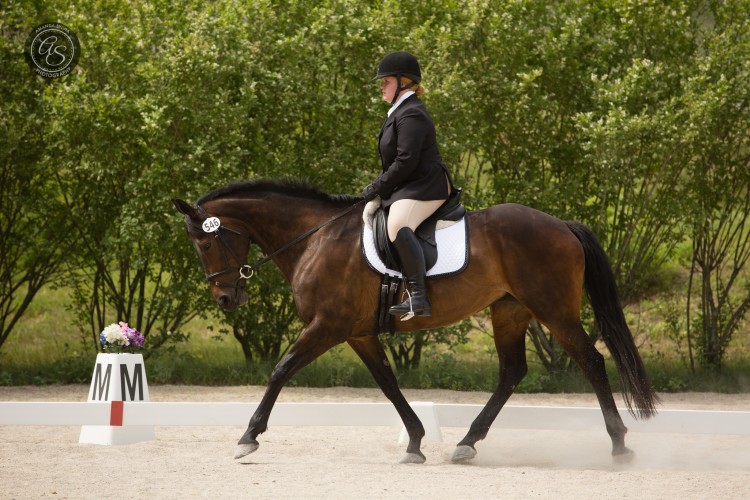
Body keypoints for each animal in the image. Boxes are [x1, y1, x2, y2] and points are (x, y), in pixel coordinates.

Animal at [173, 177, 660, 464]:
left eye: (206, 245)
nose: (225, 298)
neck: (316, 238)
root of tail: (560, 224)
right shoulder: (357, 333)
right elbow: (388, 383)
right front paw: (415, 441)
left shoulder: (327, 326)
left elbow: (280, 370)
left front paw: (248, 436)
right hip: (509, 310)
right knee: (512, 372)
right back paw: (467, 442)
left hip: (552, 309)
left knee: (591, 362)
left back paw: (620, 444)